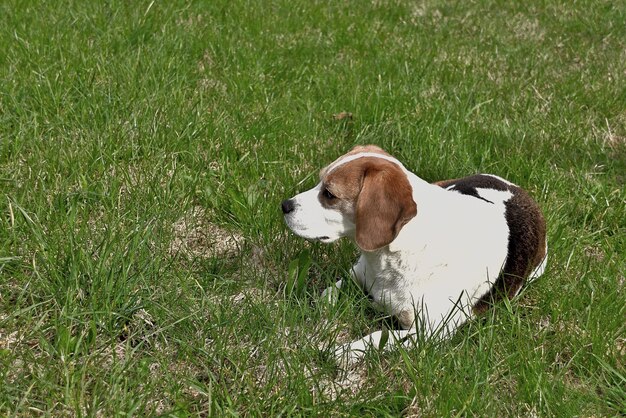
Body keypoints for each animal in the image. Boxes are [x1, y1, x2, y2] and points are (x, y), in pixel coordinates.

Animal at [280, 145, 544, 364]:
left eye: (329, 194)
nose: (284, 205)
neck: (393, 255)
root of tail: (517, 189)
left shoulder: (431, 332)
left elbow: (379, 335)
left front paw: (345, 351)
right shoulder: (358, 273)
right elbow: (328, 293)